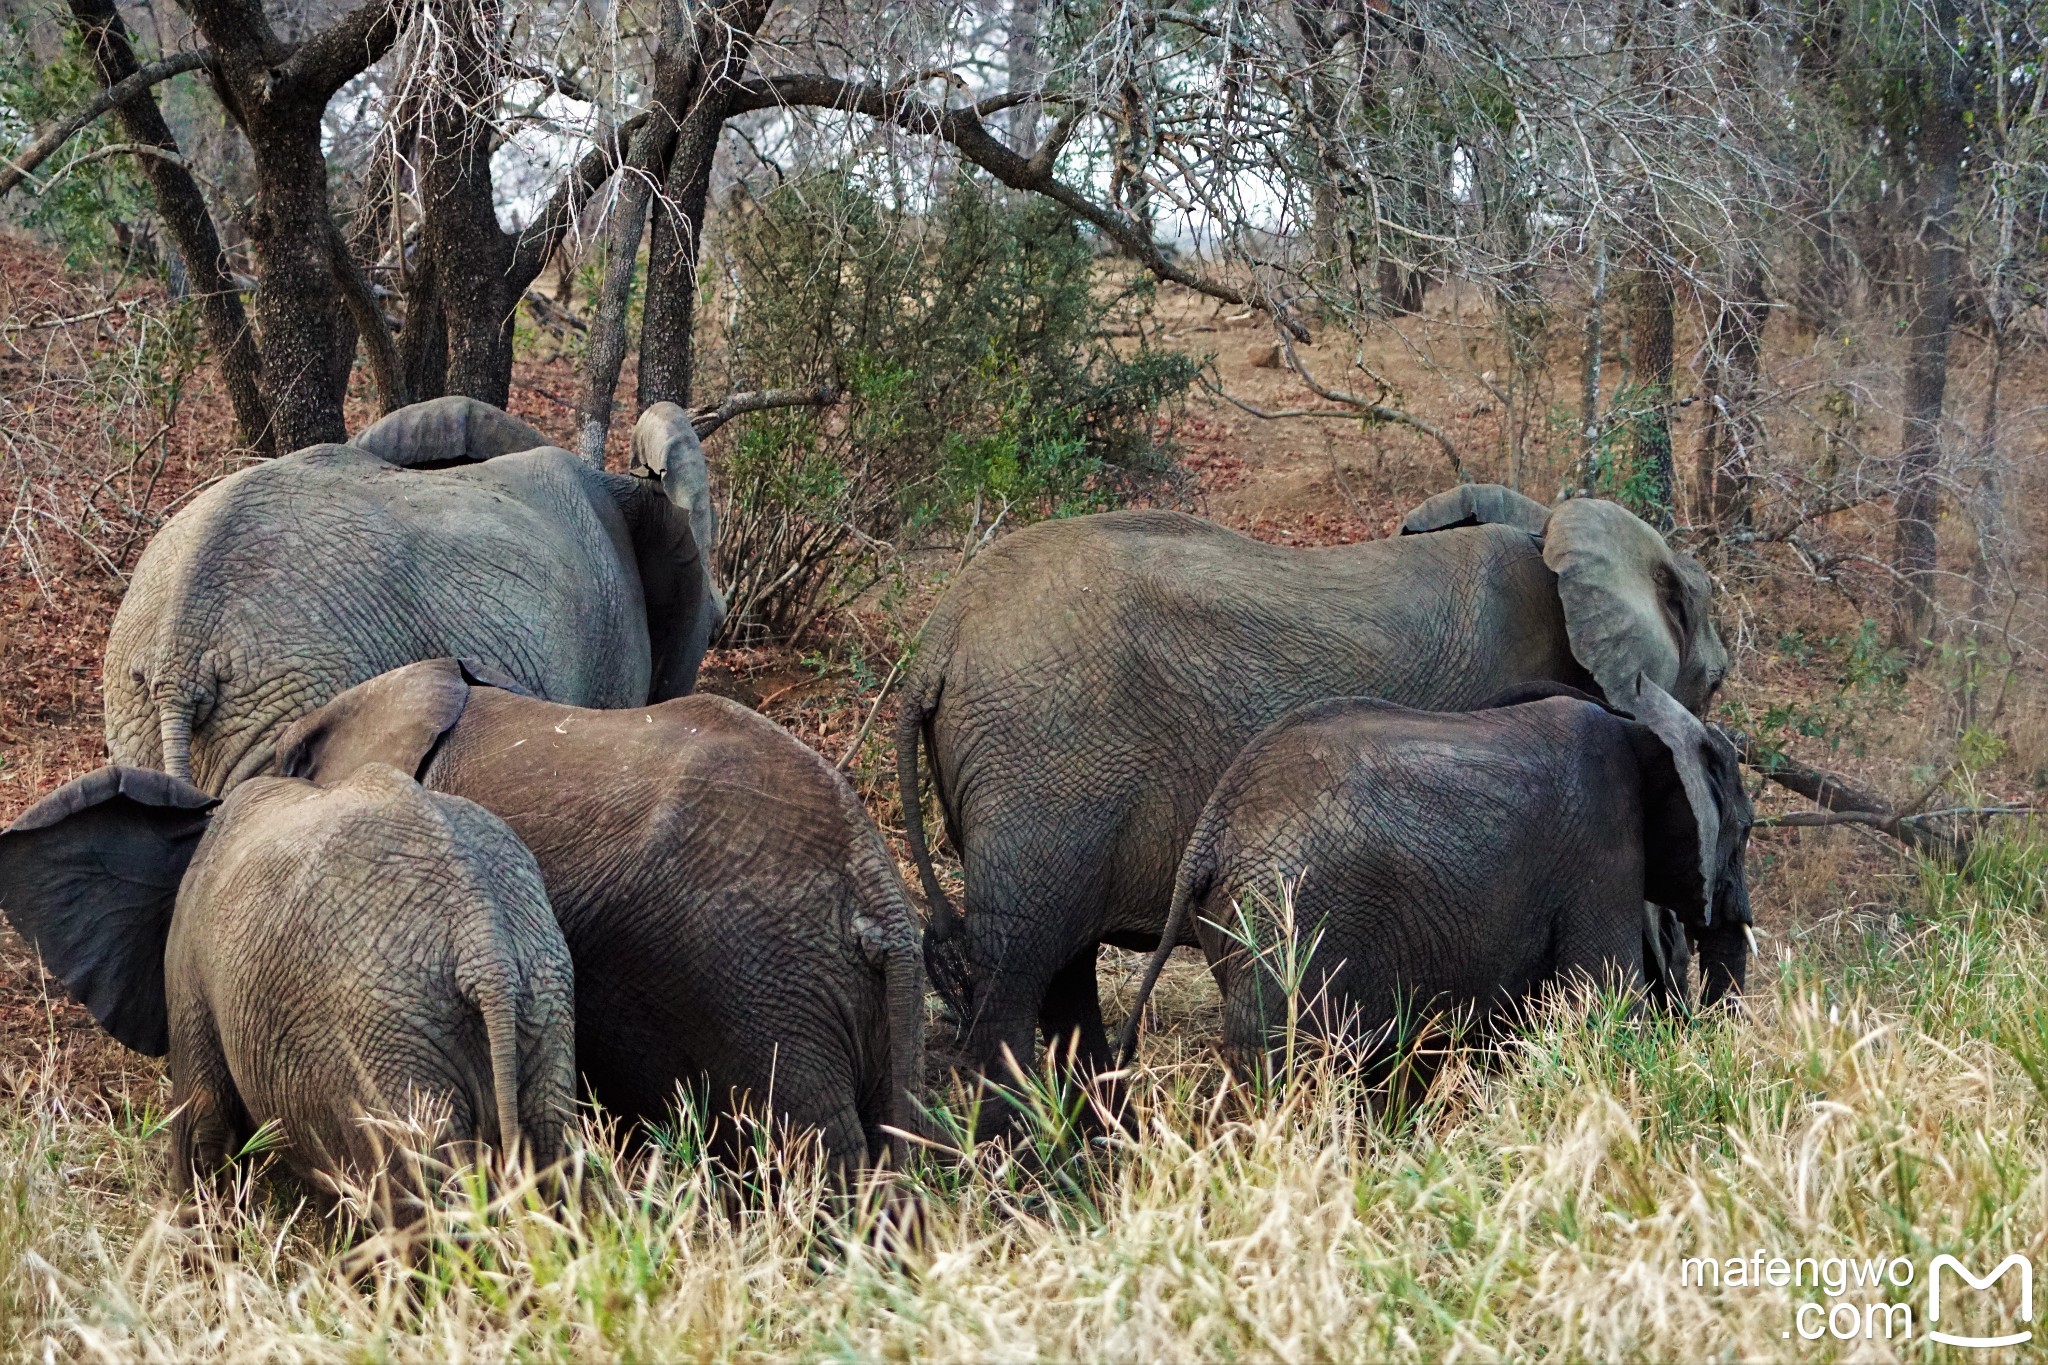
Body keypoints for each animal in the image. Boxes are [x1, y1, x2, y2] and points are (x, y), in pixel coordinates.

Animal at [0, 765, 577, 1219]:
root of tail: (484, 940)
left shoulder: (190, 964)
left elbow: (202, 1125)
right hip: (543, 1002)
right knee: (551, 1157)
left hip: (388, 1038)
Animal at [1114, 683, 1753, 1088]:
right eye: (1745, 830)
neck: (1639, 725)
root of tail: (1211, 830)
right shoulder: (1601, 848)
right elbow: (1604, 998)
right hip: (1286, 925)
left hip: (1239, 922)